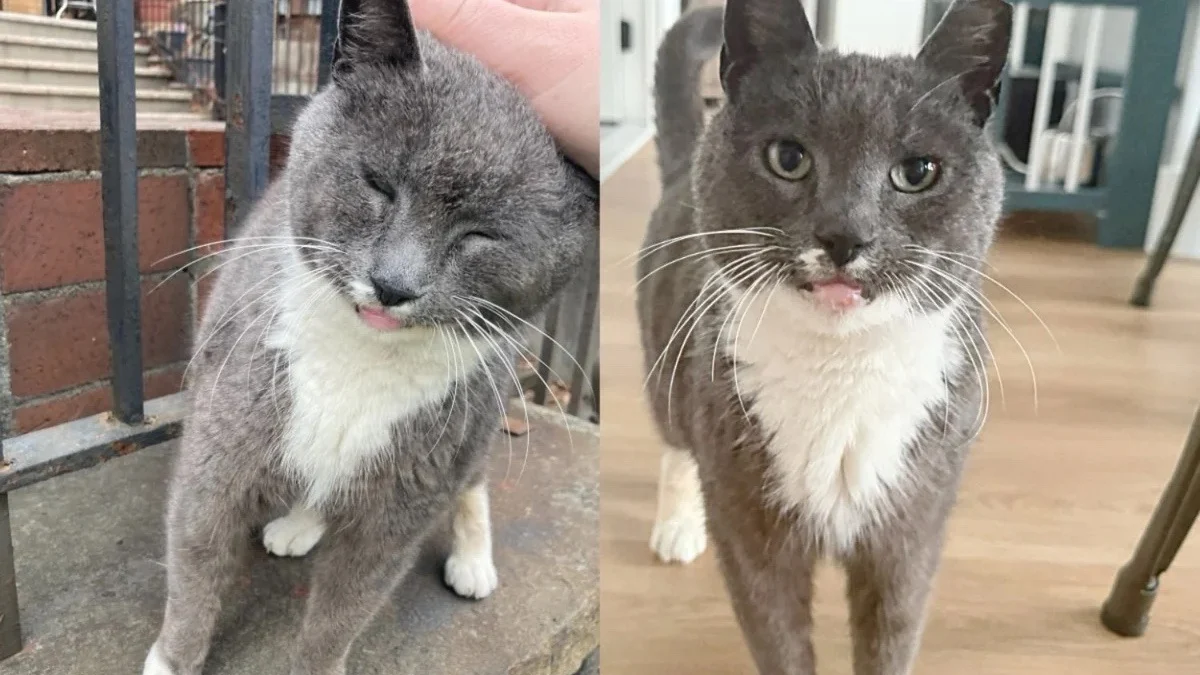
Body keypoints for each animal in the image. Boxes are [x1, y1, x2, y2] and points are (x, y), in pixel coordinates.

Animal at [140, 1, 595, 672]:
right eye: (377, 184)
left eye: (480, 235)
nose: (393, 284)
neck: (359, 358)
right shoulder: (223, 437)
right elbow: (195, 558)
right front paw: (174, 658)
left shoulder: (407, 496)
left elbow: (345, 609)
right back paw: (299, 524)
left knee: (473, 479)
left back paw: (472, 561)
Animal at [638, 1, 1012, 672]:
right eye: (789, 158)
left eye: (918, 171)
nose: (845, 234)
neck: (841, 371)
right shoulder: (752, 534)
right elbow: (779, 639)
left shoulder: (911, 532)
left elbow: (892, 637)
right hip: (668, 361)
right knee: (675, 442)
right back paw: (678, 526)